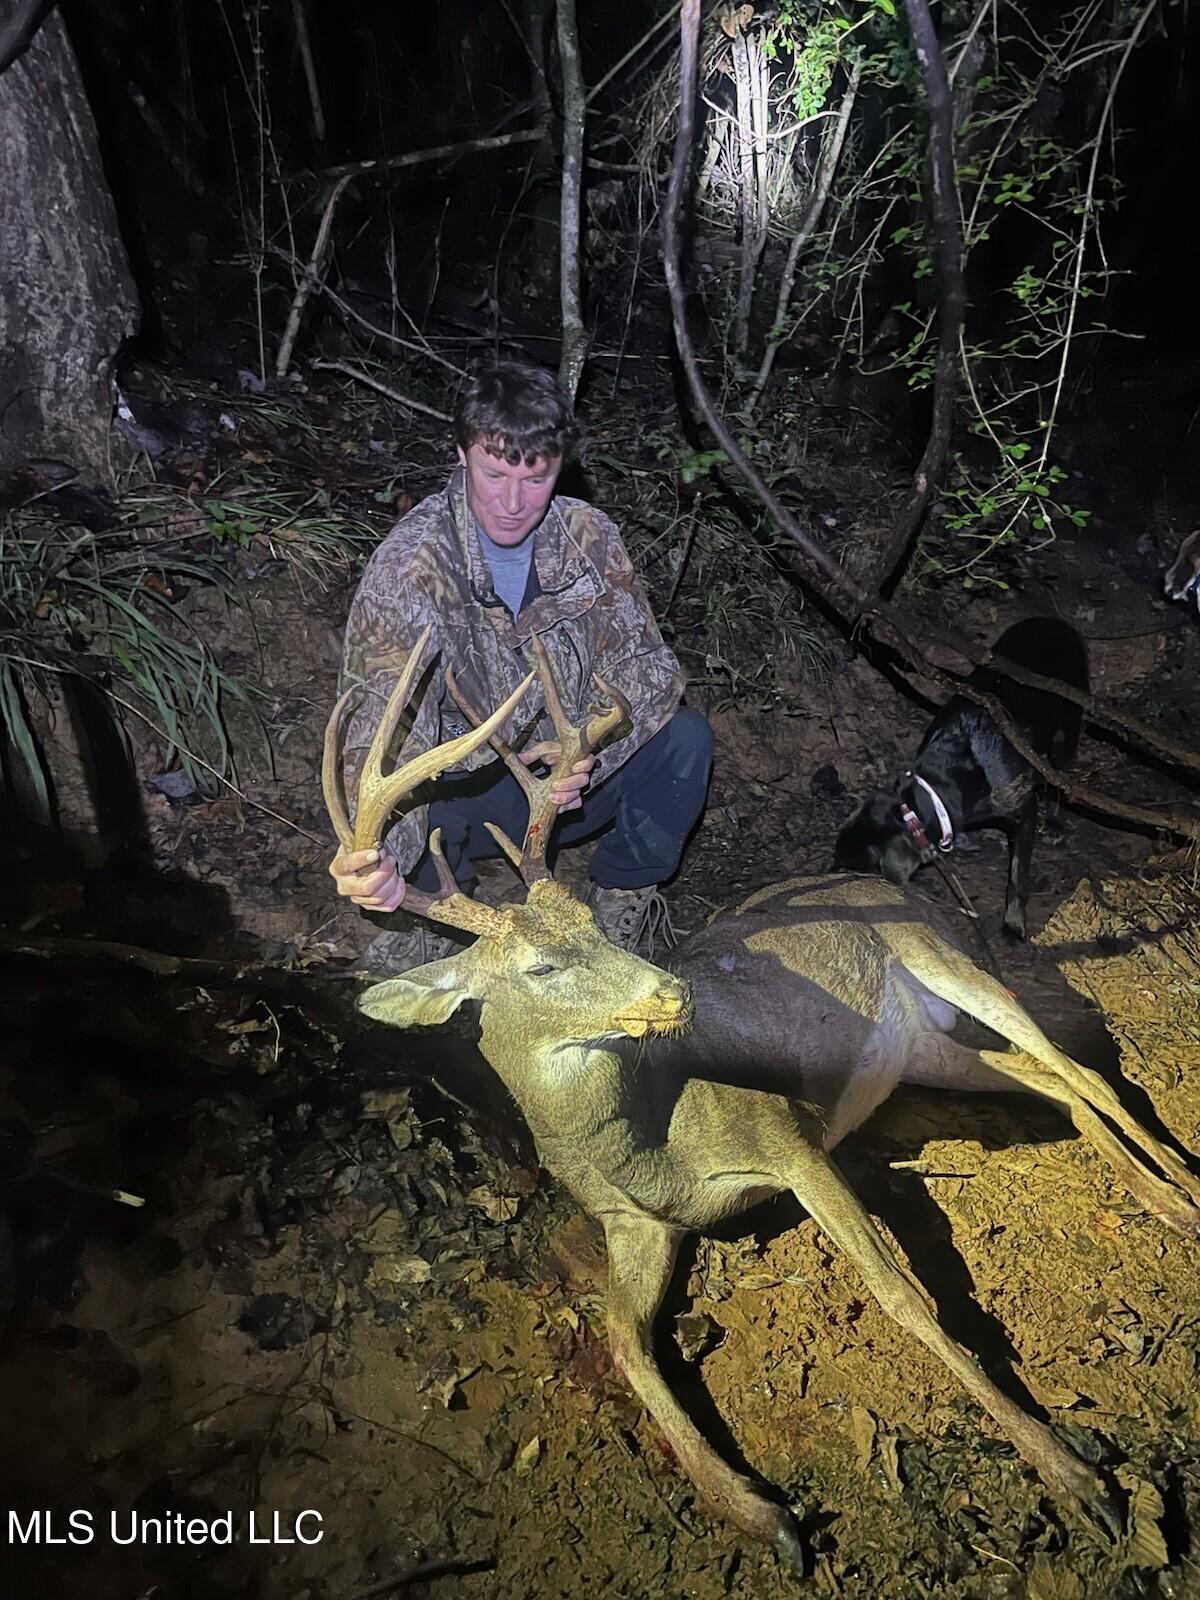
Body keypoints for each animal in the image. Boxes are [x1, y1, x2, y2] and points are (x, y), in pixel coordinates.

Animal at [324, 627, 1200, 1572]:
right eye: (543, 967)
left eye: (596, 924)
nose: (674, 991)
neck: (647, 1141)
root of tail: (889, 880)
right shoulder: (641, 1226)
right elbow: (625, 1344)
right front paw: (759, 1514)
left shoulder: (787, 1136)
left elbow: (900, 1294)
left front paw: (1077, 1480)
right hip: (925, 1048)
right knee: (1053, 1084)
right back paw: (1160, 1194)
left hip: (941, 958)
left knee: (1079, 1068)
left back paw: (1182, 1195)